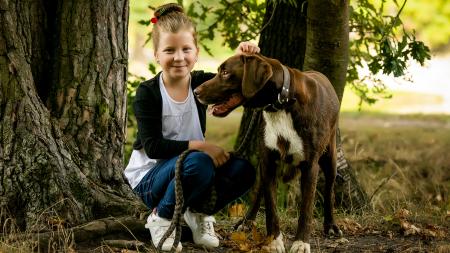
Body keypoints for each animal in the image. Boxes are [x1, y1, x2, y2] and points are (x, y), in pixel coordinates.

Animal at [193, 54, 342, 252]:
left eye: (225, 72)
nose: (195, 91)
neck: (282, 103)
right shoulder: (268, 161)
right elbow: (271, 206)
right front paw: (273, 241)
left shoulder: (310, 166)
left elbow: (306, 208)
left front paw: (301, 242)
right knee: (260, 190)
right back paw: (247, 221)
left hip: (330, 156)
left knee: (329, 189)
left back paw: (331, 225)